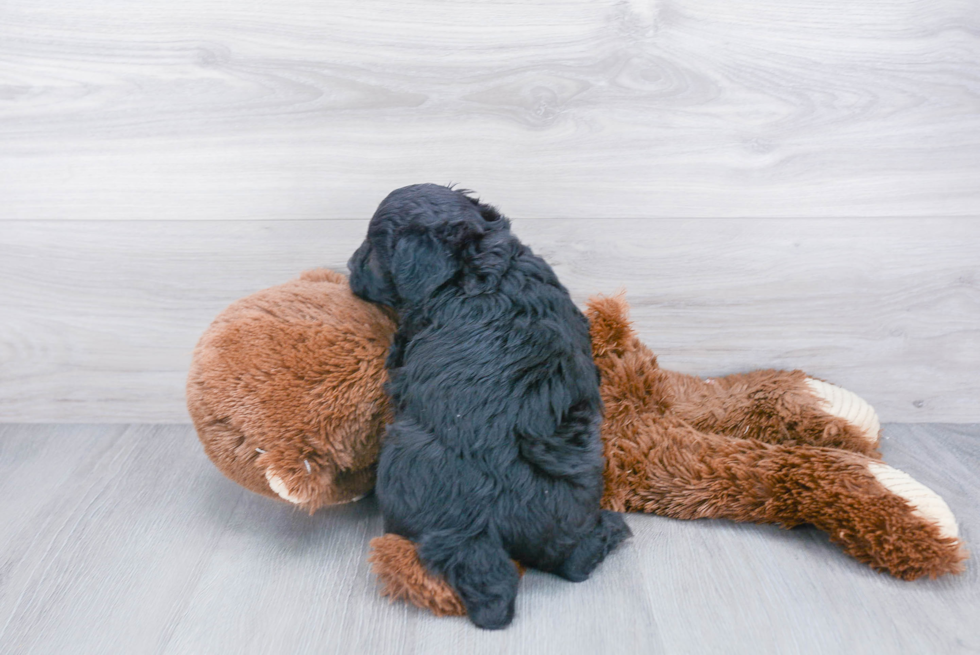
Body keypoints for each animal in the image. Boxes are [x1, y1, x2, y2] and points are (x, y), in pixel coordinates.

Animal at [348, 184, 632, 632]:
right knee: (573, 562)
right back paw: (608, 532)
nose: (347, 265)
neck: (480, 260)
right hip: (566, 512)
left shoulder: (408, 336)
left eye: (372, 249)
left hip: (406, 467)